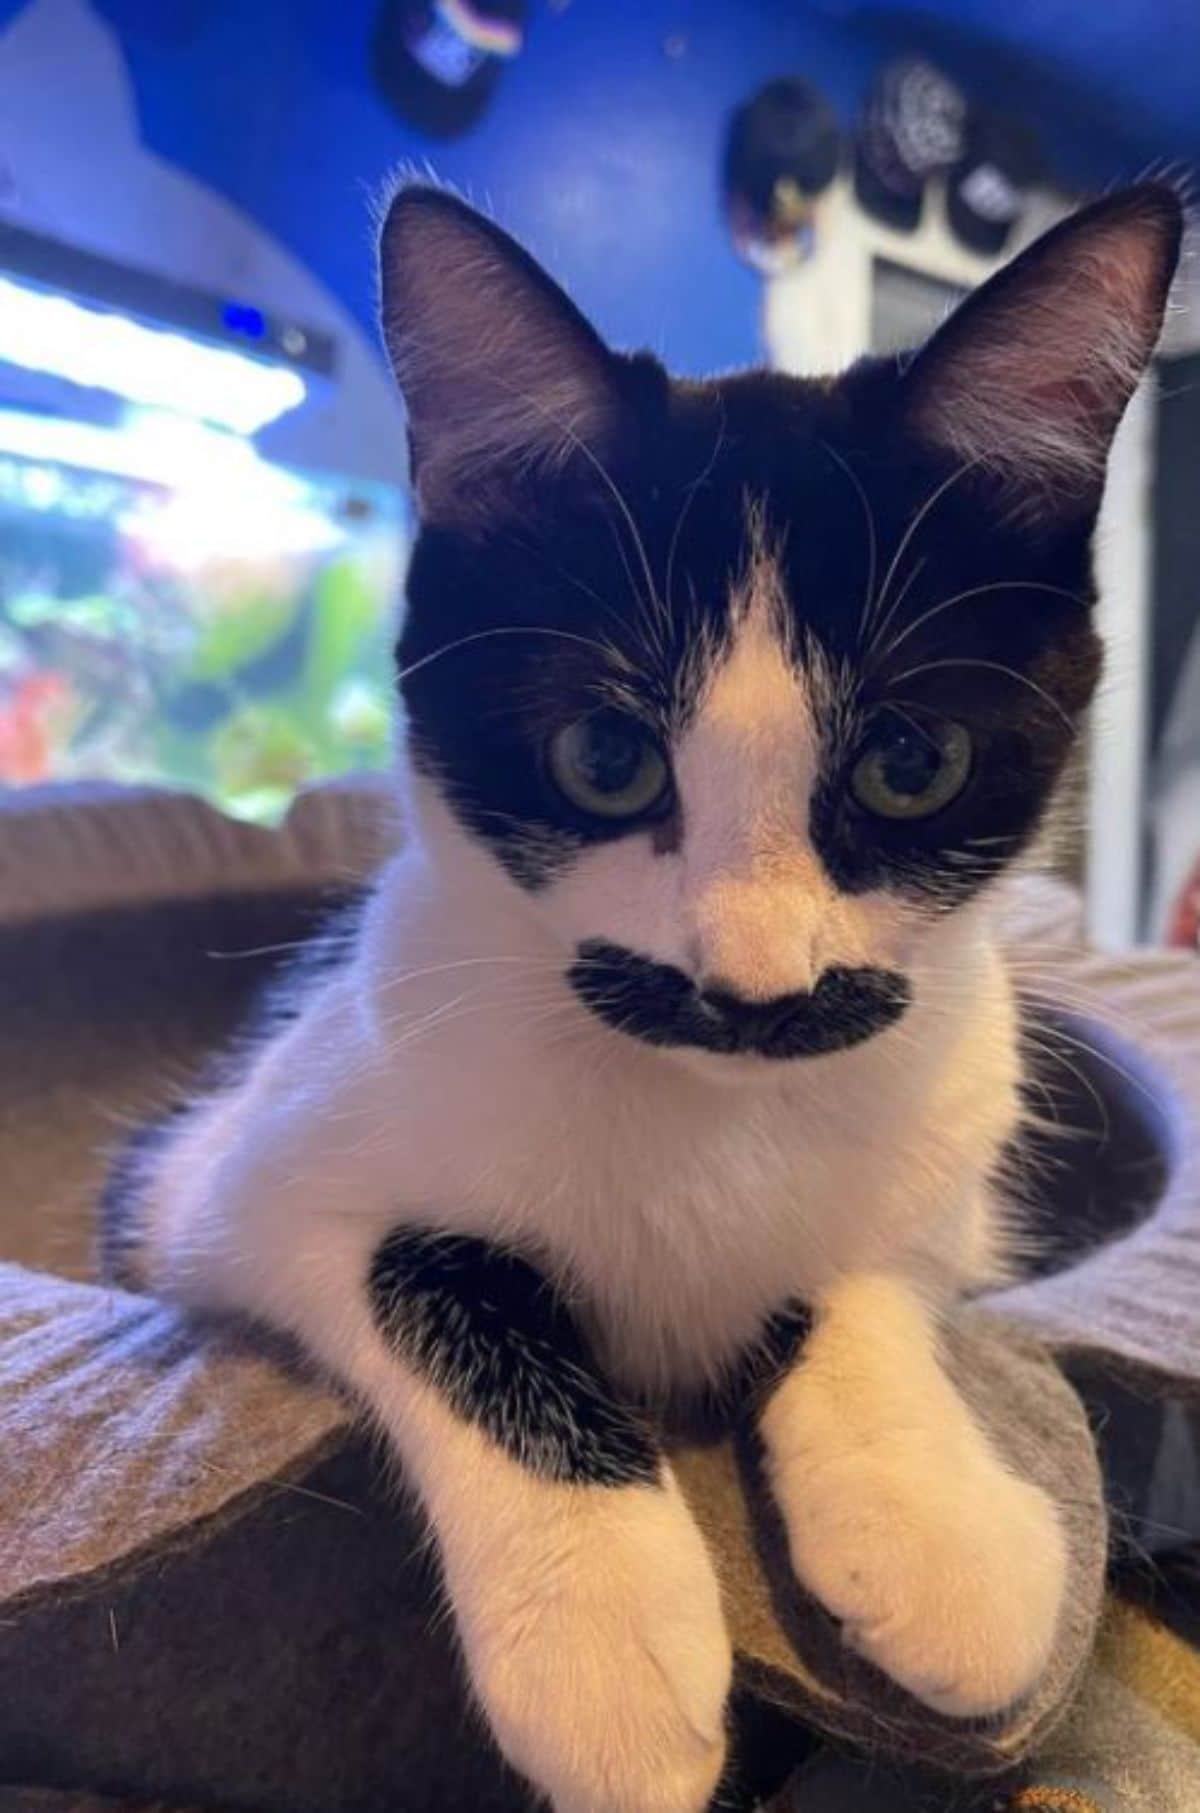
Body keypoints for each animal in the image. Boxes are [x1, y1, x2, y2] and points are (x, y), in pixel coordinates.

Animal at [119, 180, 1181, 1813]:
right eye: (606, 760)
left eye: (912, 763)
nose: (751, 988)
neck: (713, 1106)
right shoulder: (228, 1182)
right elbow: (429, 1271)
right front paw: (607, 1630)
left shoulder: (946, 1143)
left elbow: (871, 1268)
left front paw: (934, 1520)